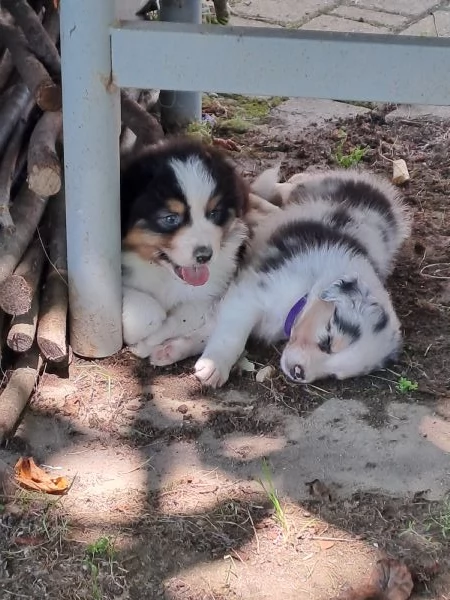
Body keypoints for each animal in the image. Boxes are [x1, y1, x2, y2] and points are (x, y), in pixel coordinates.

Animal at [121, 138, 251, 364]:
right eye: (170, 218)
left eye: (214, 213)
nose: (204, 256)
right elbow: (149, 314)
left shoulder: (210, 292)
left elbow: (188, 316)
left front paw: (148, 344)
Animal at [193, 166, 412, 386]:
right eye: (328, 341)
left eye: (334, 375)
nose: (298, 373)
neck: (305, 293)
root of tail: (381, 191)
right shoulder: (252, 293)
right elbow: (231, 336)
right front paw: (213, 368)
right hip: (310, 187)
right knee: (286, 187)